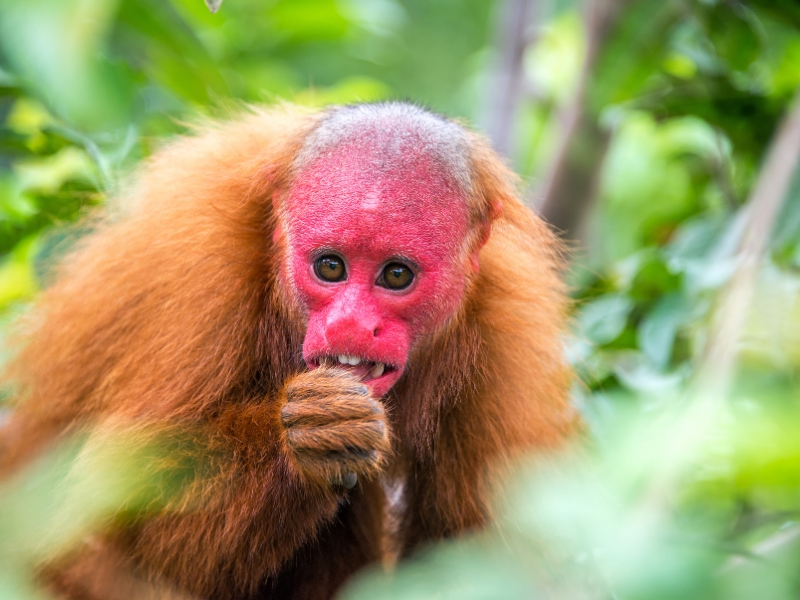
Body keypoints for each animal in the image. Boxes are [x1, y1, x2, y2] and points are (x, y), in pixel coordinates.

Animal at [0, 103, 576, 600]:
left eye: (396, 275)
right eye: (330, 266)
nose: (349, 324)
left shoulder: (505, 331)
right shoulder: (197, 280)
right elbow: (106, 530)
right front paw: (307, 436)